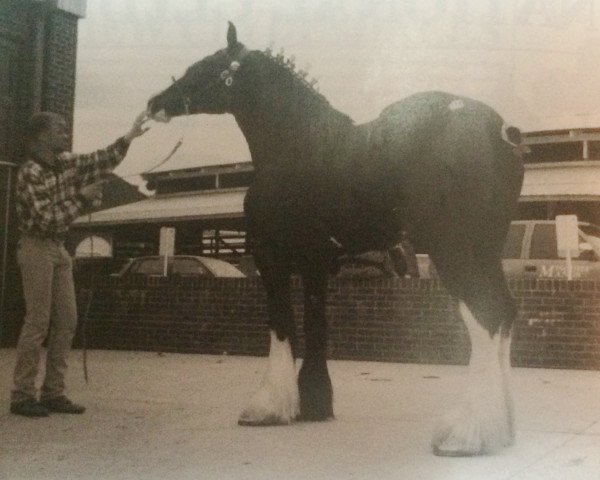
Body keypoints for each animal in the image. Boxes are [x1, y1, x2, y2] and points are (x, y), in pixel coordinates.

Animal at [148, 23, 524, 458]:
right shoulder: (315, 258)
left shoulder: (271, 255)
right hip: (484, 250)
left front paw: (268, 407)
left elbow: (281, 323)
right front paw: (314, 404)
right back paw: (501, 430)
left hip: (456, 249)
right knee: (505, 313)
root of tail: (503, 133)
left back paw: (466, 435)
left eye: (205, 67)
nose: (155, 102)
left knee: (486, 315)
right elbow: (315, 323)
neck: (298, 145)